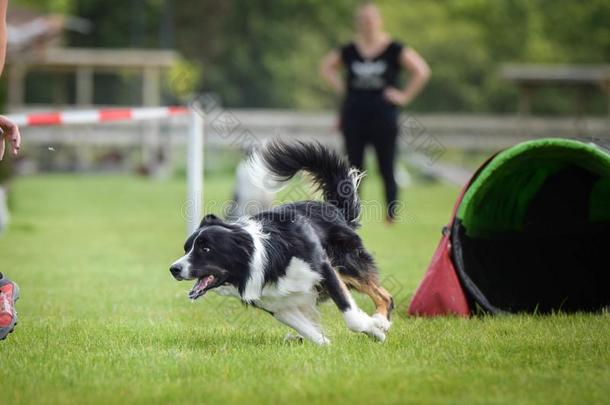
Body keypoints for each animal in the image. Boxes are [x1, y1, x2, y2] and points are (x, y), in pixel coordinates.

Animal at [167, 140, 394, 342]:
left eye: (206, 249)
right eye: (187, 248)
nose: (173, 269)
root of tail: (334, 208)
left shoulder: (323, 268)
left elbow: (352, 317)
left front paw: (375, 329)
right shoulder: (275, 303)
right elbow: (311, 333)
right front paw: (324, 344)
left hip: (346, 264)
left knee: (385, 296)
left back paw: (381, 320)